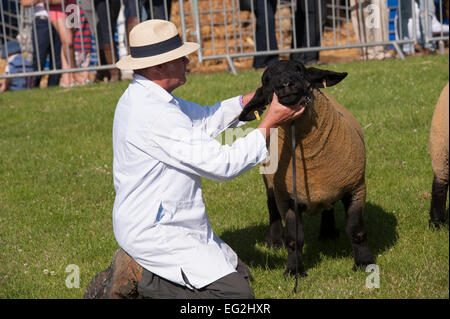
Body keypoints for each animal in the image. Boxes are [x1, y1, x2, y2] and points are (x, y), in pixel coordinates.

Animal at [241, 60, 374, 278]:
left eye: (300, 70)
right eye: (266, 80)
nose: (285, 85)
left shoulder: (355, 188)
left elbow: (357, 231)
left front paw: (364, 264)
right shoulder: (287, 200)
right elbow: (294, 239)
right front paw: (294, 271)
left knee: (328, 207)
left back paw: (328, 233)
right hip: (270, 182)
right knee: (271, 207)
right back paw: (274, 242)